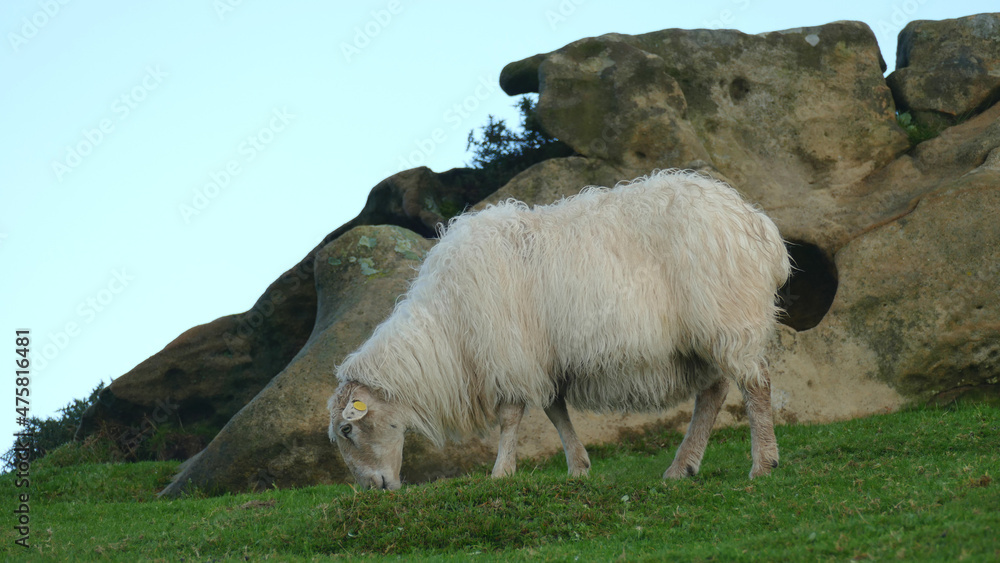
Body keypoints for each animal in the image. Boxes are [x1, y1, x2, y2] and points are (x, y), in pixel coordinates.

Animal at [328, 169, 791, 490]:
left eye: (348, 429)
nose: (373, 488)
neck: (448, 326)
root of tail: (758, 223)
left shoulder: (510, 353)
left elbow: (510, 417)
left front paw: (501, 472)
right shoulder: (544, 359)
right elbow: (555, 411)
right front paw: (578, 467)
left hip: (728, 316)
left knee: (756, 385)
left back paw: (763, 464)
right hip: (701, 335)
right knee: (712, 393)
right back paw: (683, 466)